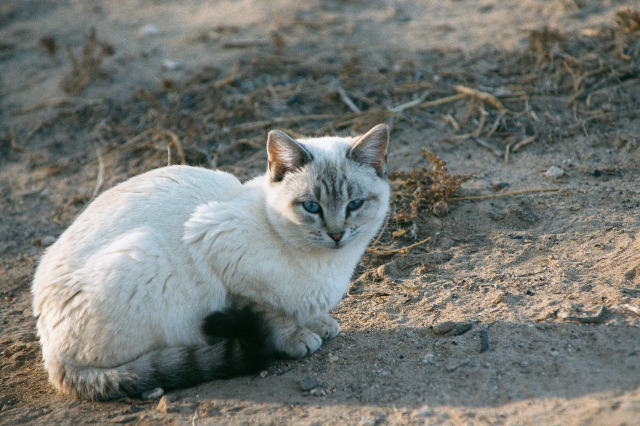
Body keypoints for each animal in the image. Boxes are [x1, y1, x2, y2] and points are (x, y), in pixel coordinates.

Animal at [33, 122, 390, 400]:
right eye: (312, 207)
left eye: (355, 204)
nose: (336, 234)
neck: (328, 265)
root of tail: (51, 356)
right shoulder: (224, 258)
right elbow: (273, 315)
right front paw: (295, 338)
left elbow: (304, 311)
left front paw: (318, 323)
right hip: (144, 255)